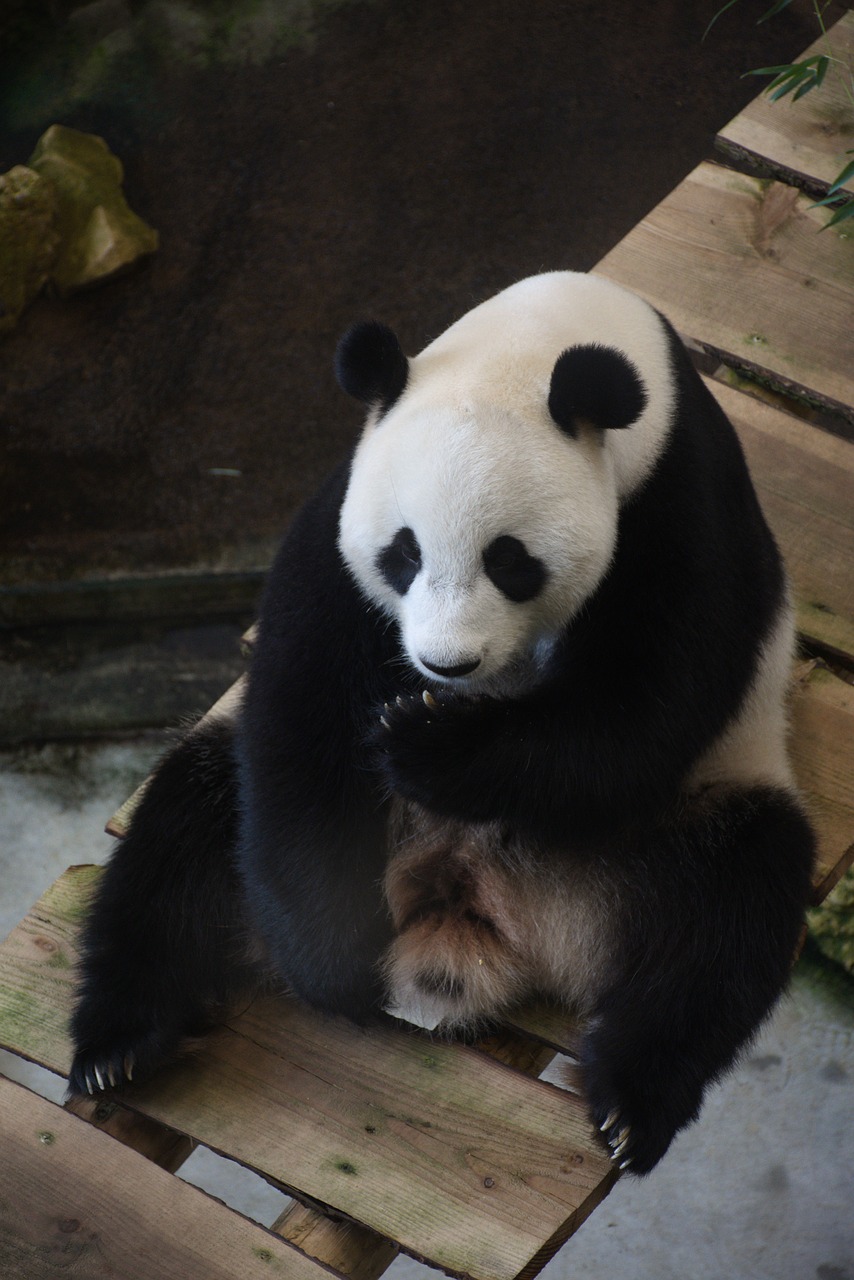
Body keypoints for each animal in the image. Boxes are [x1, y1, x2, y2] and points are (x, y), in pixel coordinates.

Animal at [68, 275, 814, 1172]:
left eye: (510, 560)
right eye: (404, 553)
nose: (445, 667)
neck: (545, 334)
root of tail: (475, 913)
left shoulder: (682, 500)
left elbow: (646, 707)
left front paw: (423, 743)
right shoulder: (342, 509)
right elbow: (303, 700)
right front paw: (332, 961)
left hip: (679, 820)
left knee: (726, 916)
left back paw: (631, 1103)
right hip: (259, 822)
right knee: (183, 835)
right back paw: (119, 1040)